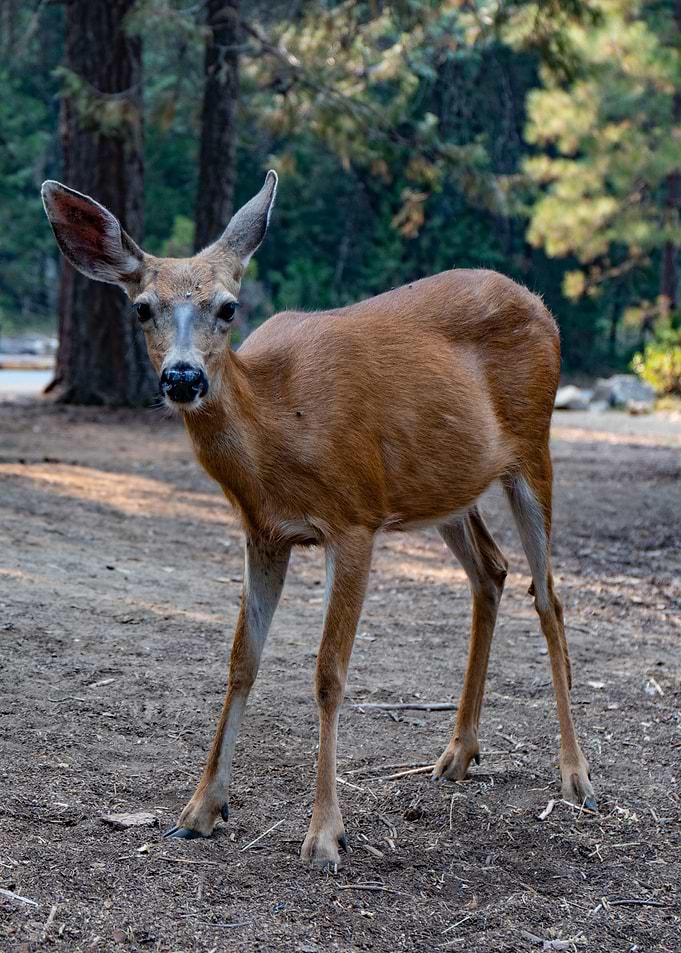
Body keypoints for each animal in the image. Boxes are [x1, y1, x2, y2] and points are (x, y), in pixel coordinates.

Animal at [41, 171, 596, 869]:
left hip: (532, 448)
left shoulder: (353, 519)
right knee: (490, 572)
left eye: (229, 308)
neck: (277, 430)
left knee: (547, 593)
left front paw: (325, 833)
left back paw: (576, 776)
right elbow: (241, 661)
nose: (183, 377)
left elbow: (329, 672)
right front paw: (199, 810)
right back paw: (456, 754)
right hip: (443, 488)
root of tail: (539, 303)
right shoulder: (263, 534)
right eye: (141, 308)